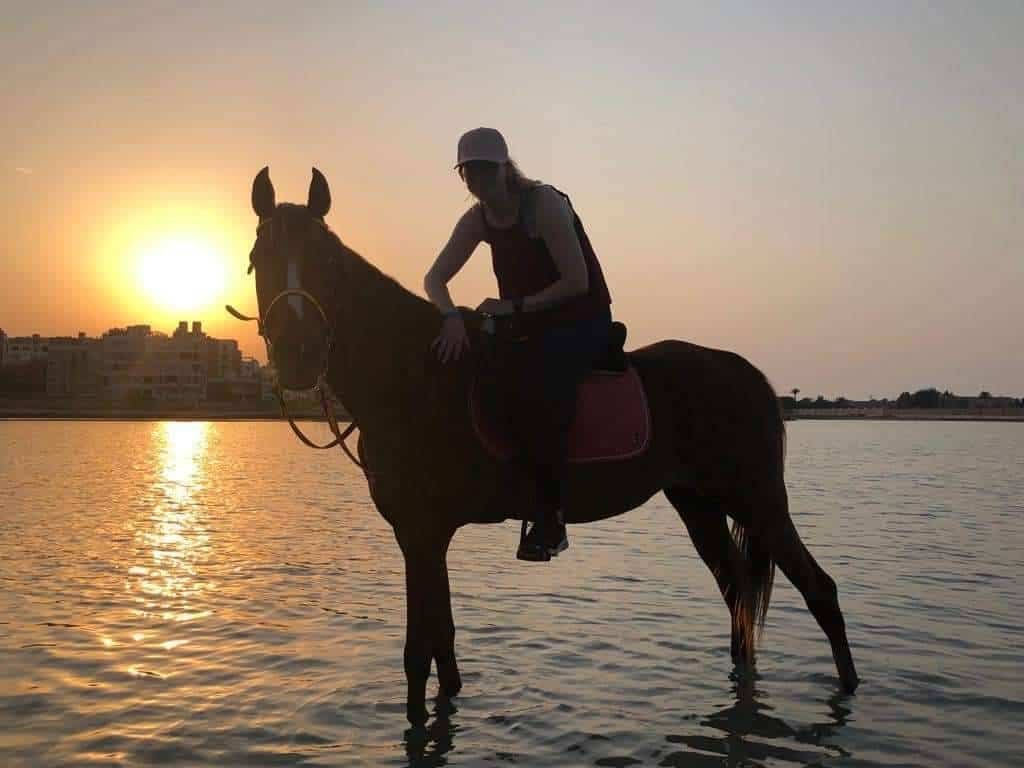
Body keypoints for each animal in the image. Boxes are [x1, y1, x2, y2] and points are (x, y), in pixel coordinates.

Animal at [242, 167, 859, 726]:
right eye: (258, 257)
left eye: (325, 260)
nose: (298, 353)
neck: (412, 375)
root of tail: (745, 373)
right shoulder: (420, 536)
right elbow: (443, 644)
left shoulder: (423, 532)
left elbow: (419, 654)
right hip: (699, 503)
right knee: (737, 594)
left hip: (757, 501)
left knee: (820, 591)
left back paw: (848, 689)